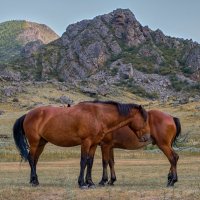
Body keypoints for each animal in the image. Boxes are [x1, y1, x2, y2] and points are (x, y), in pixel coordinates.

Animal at [12, 101, 148, 188]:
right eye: (144, 119)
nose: (146, 138)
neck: (97, 116)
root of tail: (28, 114)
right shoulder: (86, 142)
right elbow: (83, 161)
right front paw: (82, 183)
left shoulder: (94, 144)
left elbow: (90, 162)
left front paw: (90, 182)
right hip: (34, 142)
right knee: (31, 158)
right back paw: (34, 181)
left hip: (41, 143)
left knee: (35, 160)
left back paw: (34, 180)